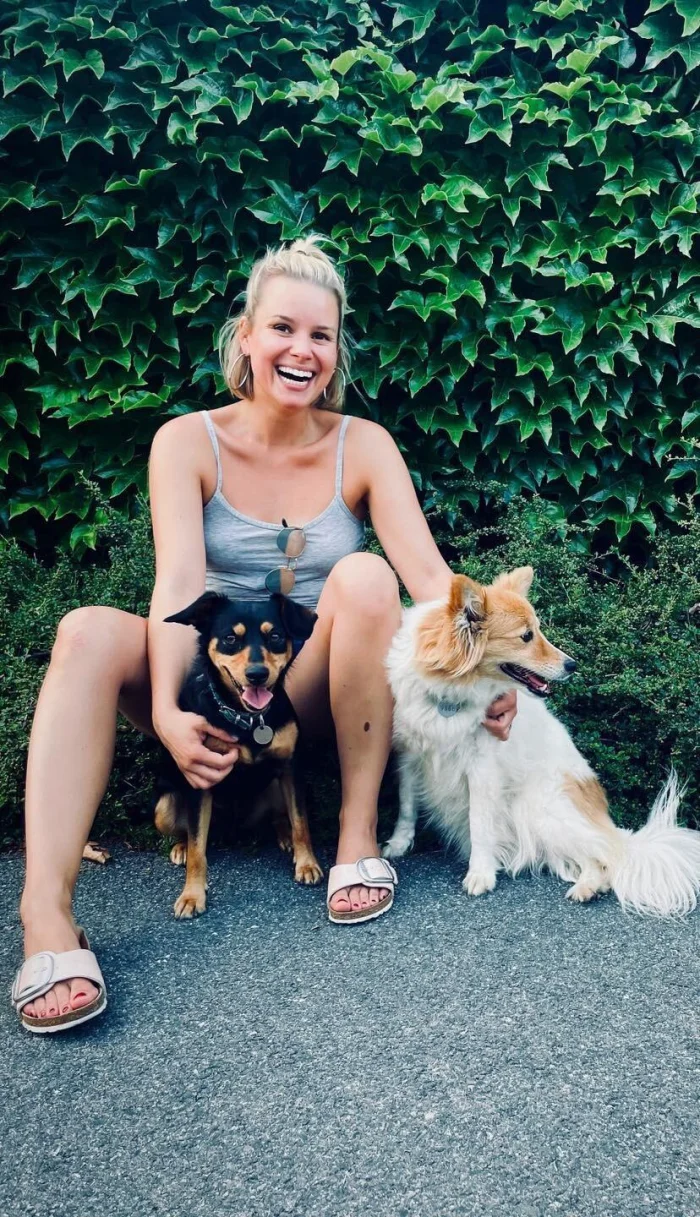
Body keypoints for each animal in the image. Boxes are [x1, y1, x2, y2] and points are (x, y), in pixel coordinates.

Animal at [154, 591, 323, 918]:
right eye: (230, 638)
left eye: (275, 636)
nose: (257, 674)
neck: (248, 719)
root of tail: (233, 832)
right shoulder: (200, 779)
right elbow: (198, 847)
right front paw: (192, 895)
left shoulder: (291, 768)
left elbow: (301, 822)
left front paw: (307, 863)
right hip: (164, 806)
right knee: (187, 832)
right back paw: (181, 847)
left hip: (274, 787)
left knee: (279, 816)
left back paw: (284, 836)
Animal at [383, 566, 700, 917]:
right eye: (526, 636)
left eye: (538, 631)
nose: (573, 665)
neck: (450, 695)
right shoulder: (409, 756)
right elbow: (406, 805)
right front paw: (398, 843)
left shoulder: (481, 770)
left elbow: (480, 824)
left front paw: (480, 873)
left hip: (539, 811)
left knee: (606, 857)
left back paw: (588, 887)